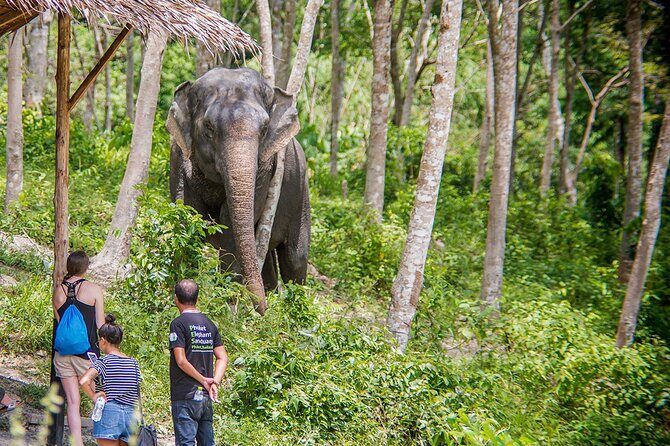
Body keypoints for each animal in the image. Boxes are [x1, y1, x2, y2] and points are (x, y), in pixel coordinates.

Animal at [166, 67, 310, 315]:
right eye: (209, 127)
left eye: (264, 129)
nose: (261, 310)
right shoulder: (178, 156)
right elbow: (186, 217)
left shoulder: (264, 170)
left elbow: (231, 226)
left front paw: (227, 307)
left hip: (301, 194)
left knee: (295, 258)